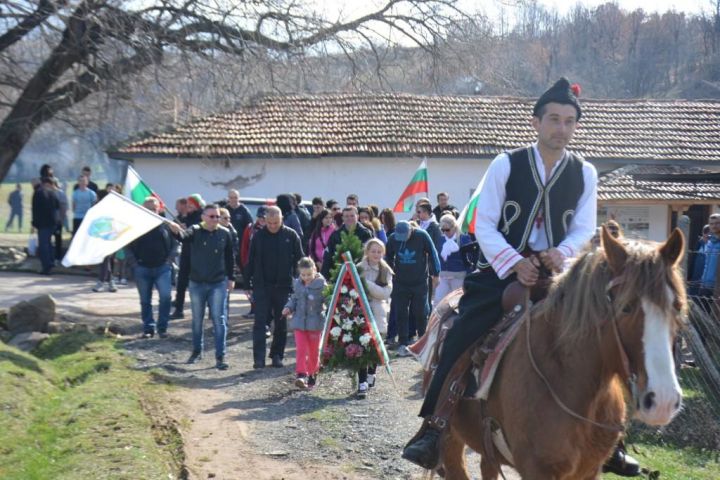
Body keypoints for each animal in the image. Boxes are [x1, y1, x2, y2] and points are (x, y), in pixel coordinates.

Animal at [444, 227, 688, 478]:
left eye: (677, 306)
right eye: (626, 307)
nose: (663, 401)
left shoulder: (590, 469)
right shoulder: (537, 470)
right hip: (450, 440)